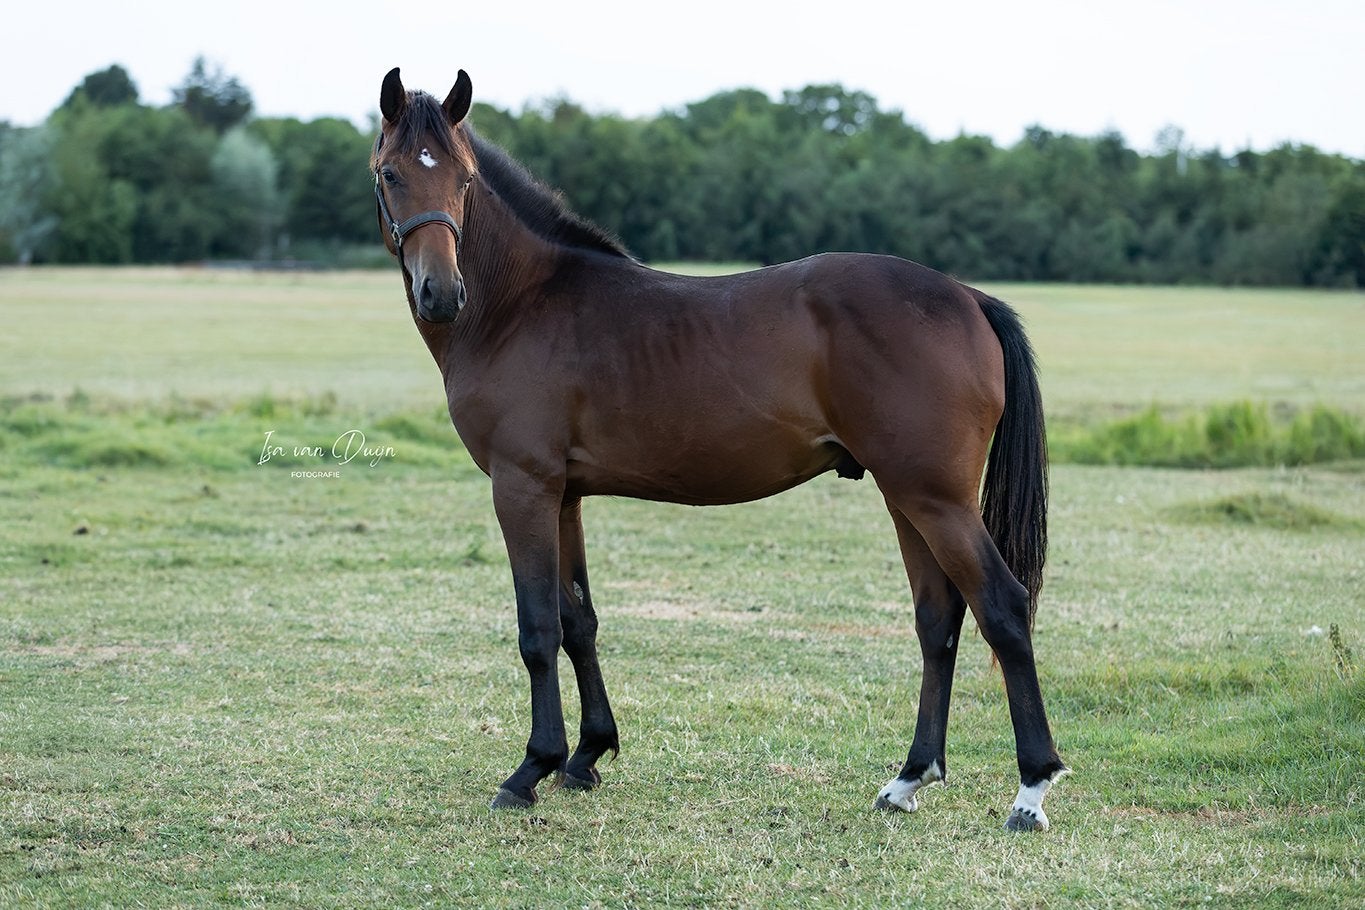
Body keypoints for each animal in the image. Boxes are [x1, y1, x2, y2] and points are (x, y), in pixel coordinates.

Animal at [370, 68, 1068, 831]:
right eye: (390, 173)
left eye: (463, 178)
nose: (441, 293)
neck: (521, 304)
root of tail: (968, 297)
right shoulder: (564, 495)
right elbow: (577, 619)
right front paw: (587, 756)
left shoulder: (520, 487)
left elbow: (537, 629)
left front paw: (532, 767)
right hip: (906, 497)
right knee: (937, 619)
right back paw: (908, 778)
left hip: (935, 499)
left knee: (1001, 608)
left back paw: (1031, 788)